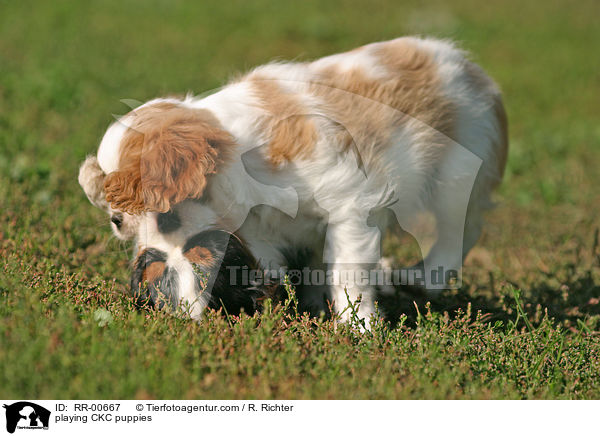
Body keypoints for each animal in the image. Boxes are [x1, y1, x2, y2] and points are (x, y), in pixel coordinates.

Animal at [78, 36, 506, 324]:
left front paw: (358, 327)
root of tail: (472, 69)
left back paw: (421, 277)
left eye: (166, 218)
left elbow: (346, 270)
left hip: (458, 173)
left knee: (457, 234)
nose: (117, 223)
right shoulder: (261, 229)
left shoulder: (349, 206)